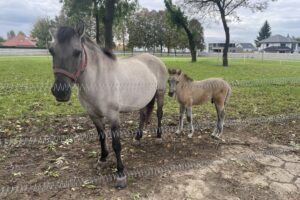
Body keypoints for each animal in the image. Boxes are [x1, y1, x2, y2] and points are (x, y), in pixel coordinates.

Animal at [48, 22, 166, 188]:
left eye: (77, 52)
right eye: (51, 51)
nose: (60, 92)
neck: (98, 79)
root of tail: (154, 58)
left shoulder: (113, 115)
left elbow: (116, 144)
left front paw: (121, 174)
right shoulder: (93, 115)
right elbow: (101, 137)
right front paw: (102, 159)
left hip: (160, 93)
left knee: (159, 114)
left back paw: (158, 137)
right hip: (143, 99)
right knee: (143, 115)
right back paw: (137, 138)